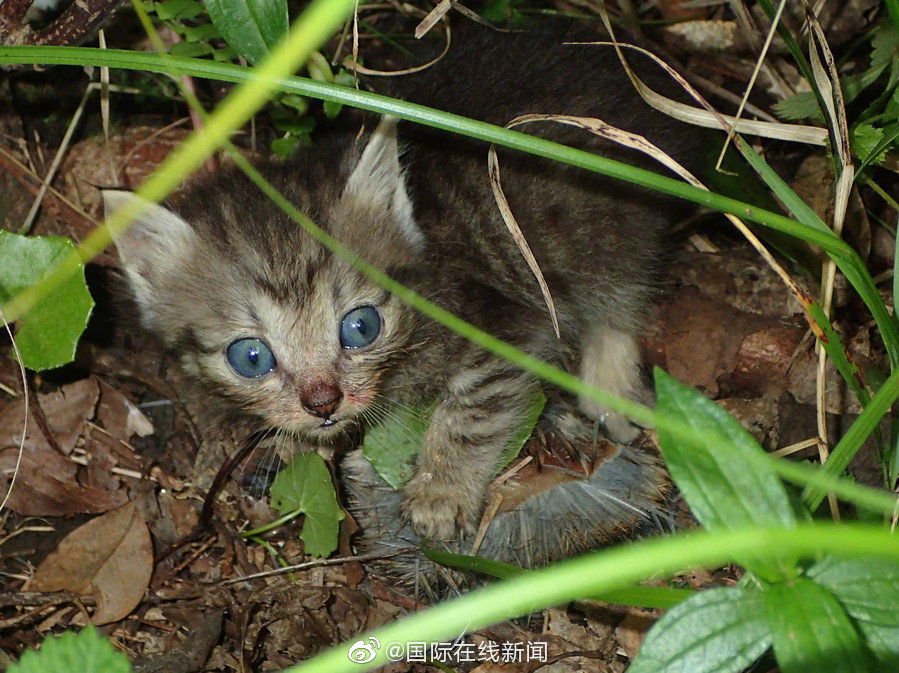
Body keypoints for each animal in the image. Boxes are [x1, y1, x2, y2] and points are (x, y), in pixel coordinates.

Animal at [102, 18, 700, 540]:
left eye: (361, 327)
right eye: (251, 357)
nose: (324, 403)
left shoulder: (504, 325)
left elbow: (473, 412)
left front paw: (440, 492)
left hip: (610, 228)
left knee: (620, 300)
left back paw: (609, 393)